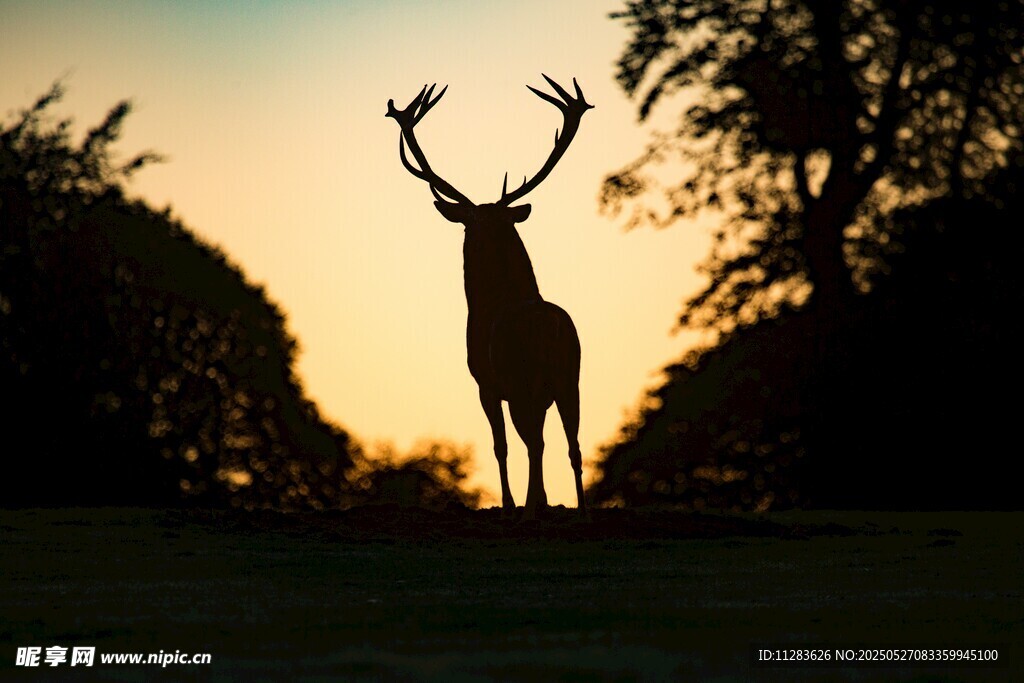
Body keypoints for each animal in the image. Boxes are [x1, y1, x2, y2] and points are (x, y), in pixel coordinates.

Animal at [386, 75, 592, 520]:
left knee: (534, 442)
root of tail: (550, 329)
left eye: (469, 225)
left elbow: (500, 446)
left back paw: (530, 509)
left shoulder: (484, 381)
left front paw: (511, 504)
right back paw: (581, 510)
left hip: (523, 379)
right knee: (573, 445)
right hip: (571, 377)